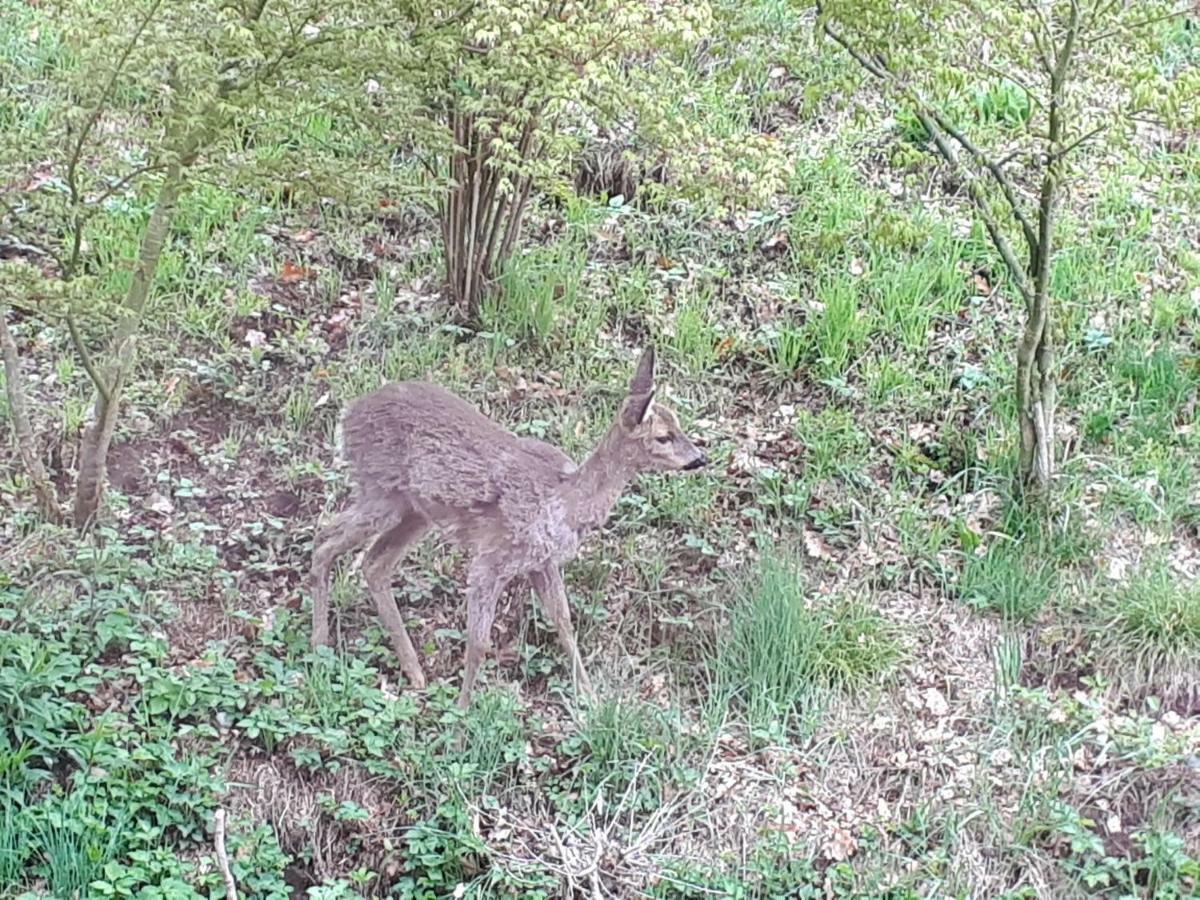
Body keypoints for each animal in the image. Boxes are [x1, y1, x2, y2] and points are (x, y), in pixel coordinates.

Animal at [309, 348, 705, 710]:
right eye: (663, 437)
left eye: (679, 424)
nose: (700, 458)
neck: (565, 503)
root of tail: (346, 416)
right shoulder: (492, 559)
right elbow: (478, 641)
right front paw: (462, 711)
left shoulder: (541, 563)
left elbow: (564, 623)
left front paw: (591, 698)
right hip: (381, 491)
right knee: (325, 540)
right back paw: (320, 645)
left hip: (414, 510)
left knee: (373, 563)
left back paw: (415, 672)